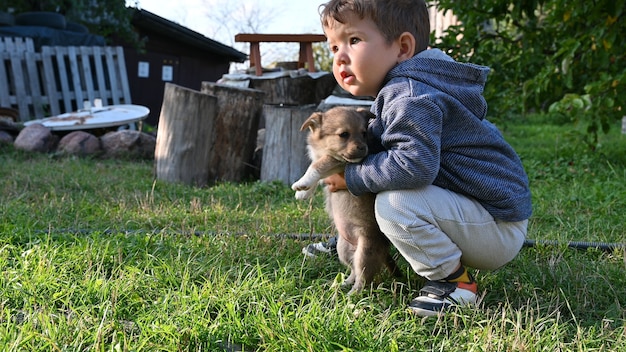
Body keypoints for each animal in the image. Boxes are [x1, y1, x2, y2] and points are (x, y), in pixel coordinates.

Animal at [290, 106, 398, 294]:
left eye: (363, 133)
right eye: (344, 134)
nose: (363, 149)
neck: (323, 147)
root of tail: (385, 251)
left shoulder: (337, 161)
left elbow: (317, 166)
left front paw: (301, 183)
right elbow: (315, 168)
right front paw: (304, 192)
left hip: (365, 251)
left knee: (364, 278)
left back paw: (352, 295)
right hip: (344, 249)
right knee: (354, 269)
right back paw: (343, 284)